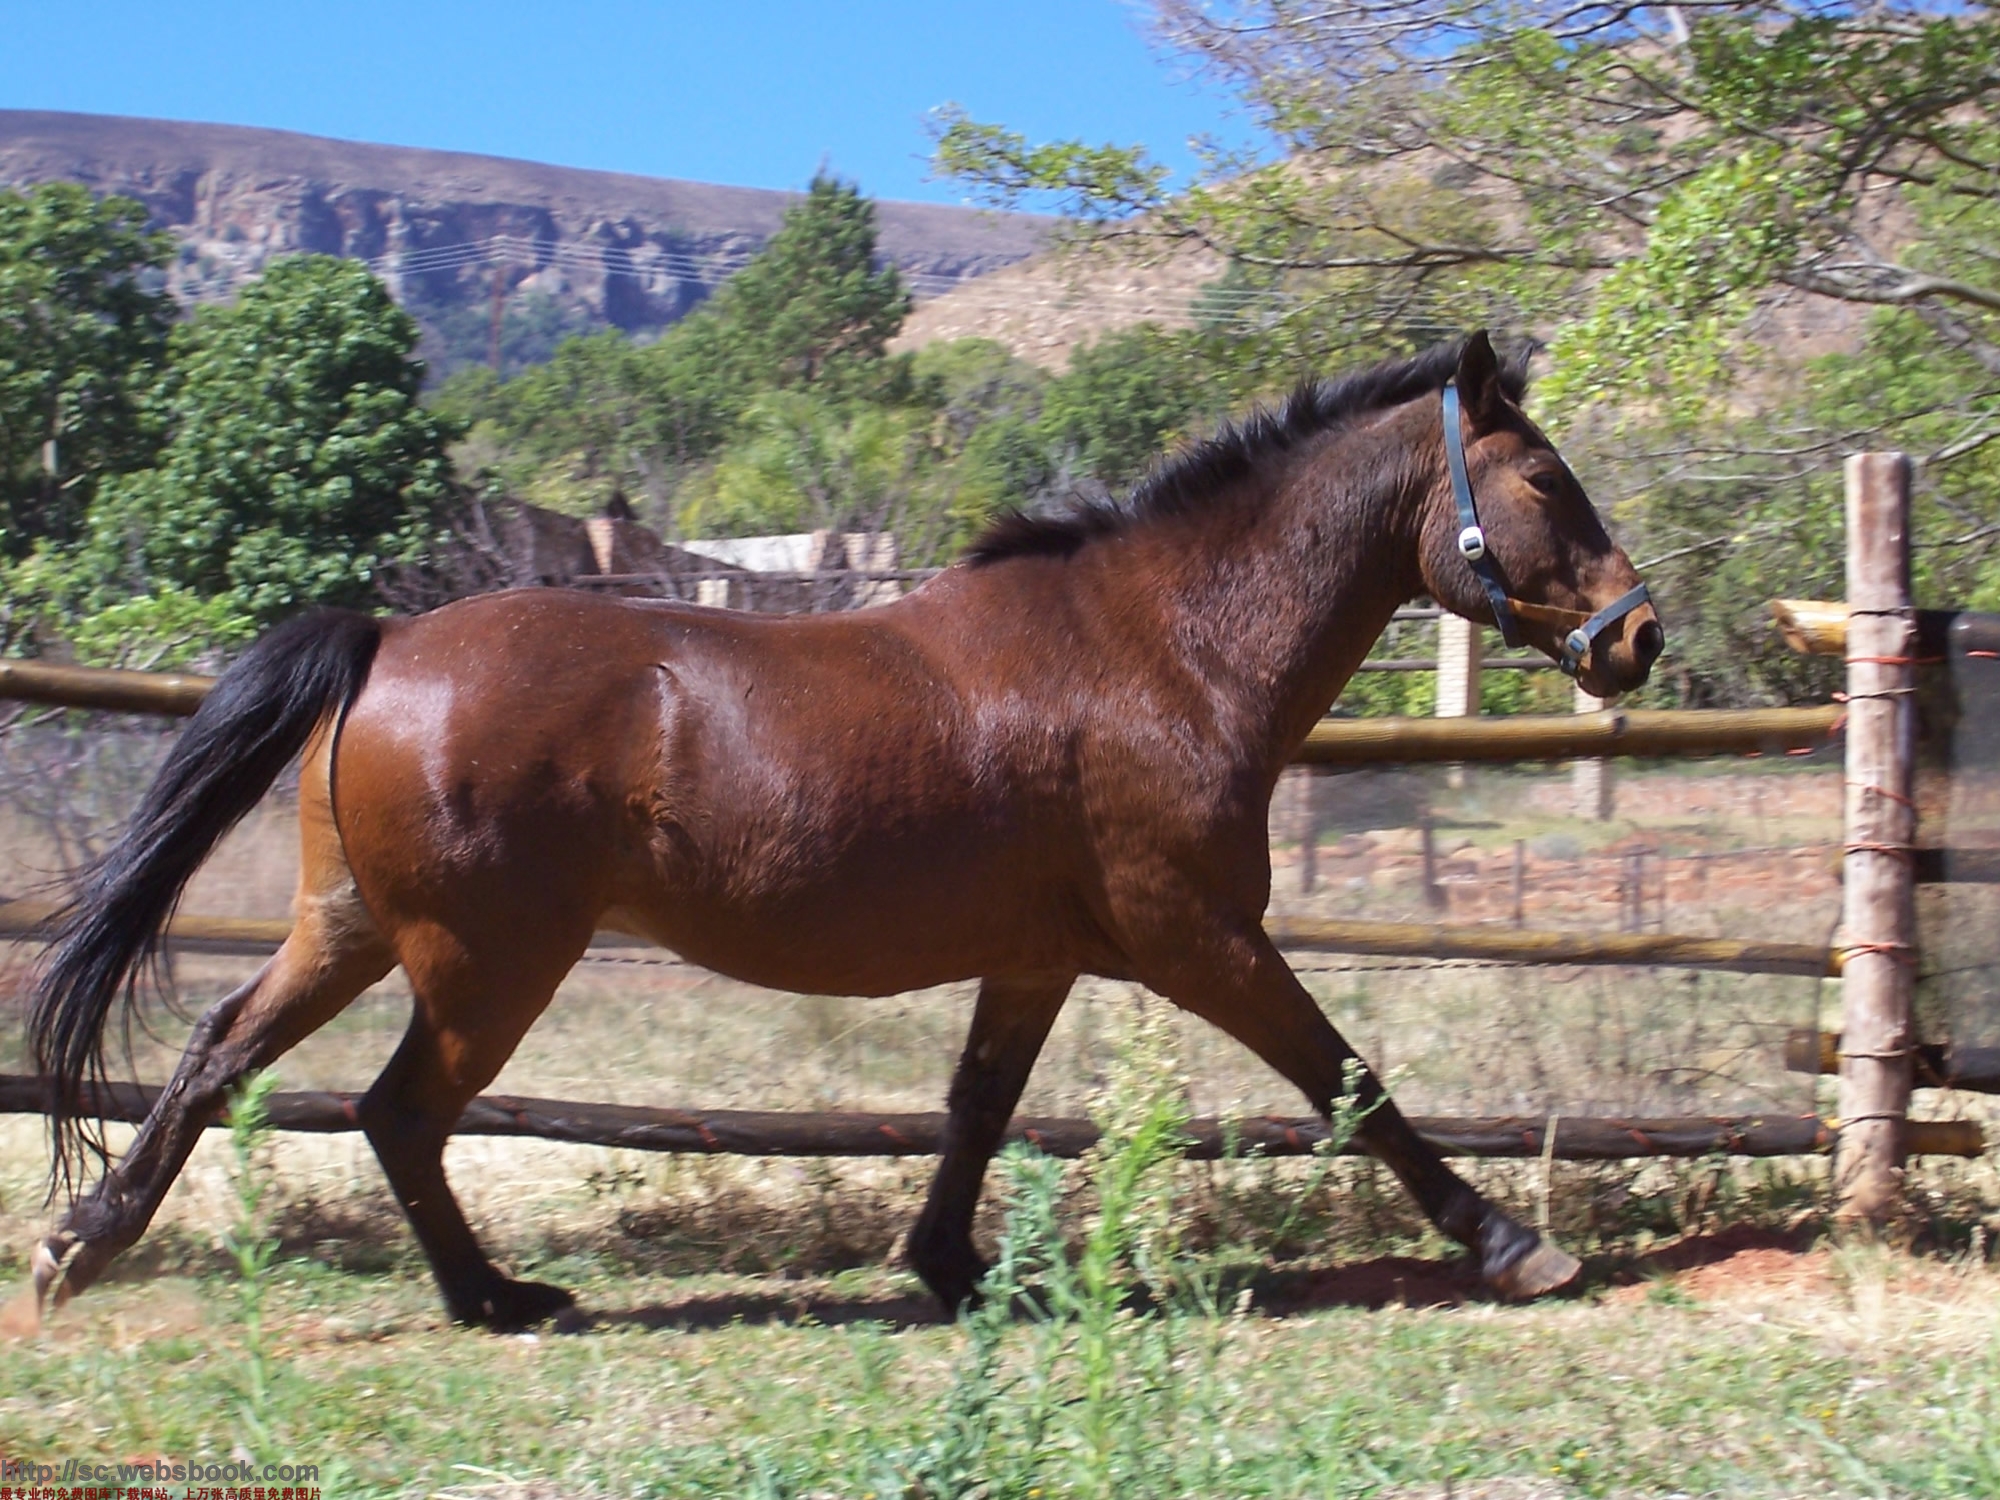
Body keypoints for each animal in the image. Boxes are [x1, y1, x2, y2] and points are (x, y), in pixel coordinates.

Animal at [23, 334, 1664, 1336]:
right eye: (1542, 478)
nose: (1639, 635)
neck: (1165, 647)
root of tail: (388, 641)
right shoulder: (1200, 937)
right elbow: (1350, 1077)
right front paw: (1513, 1245)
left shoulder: (1041, 958)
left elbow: (975, 1106)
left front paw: (947, 1267)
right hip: (485, 964)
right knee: (397, 1112)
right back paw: (495, 1299)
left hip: (355, 928)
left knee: (223, 1054)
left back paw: (83, 1241)